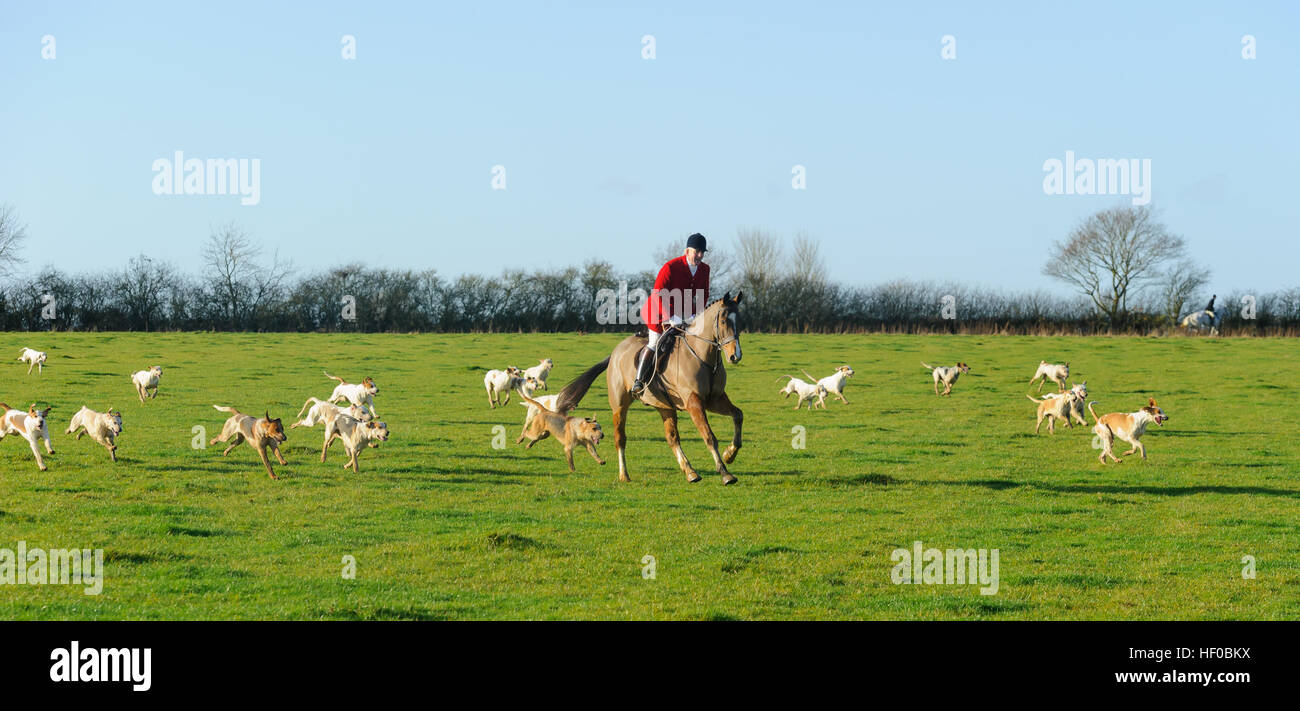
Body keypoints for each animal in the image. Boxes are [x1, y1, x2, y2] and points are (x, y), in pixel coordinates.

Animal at [551, 292, 748, 486]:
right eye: (723, 321)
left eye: (740, 320)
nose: (735, 356)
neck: (702, 356)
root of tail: (616, 352)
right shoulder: (694, 403)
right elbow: (709, 436)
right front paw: (725, 473)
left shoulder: (715, 399)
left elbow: (738, 415)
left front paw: (730, 454)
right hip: (620, 406)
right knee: (620, 438)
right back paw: (624, 474)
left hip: (665, 406)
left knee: (672, 437)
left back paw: (690, 471)